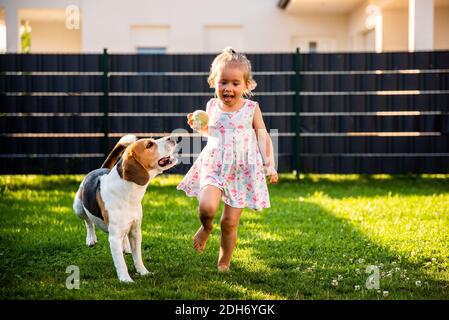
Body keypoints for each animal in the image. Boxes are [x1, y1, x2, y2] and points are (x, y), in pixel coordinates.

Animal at [73, 135, 177, 282]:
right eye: (149, 144)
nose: (173, 137)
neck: (129, 194)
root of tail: (98, 169)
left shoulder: (136, 231)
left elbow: (137, 256)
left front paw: (143, 272)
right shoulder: (114, 238)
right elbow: (120, 262)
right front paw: (125, 279)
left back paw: (126, 247)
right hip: (78, 207)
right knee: (88, 222)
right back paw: (91, 239)